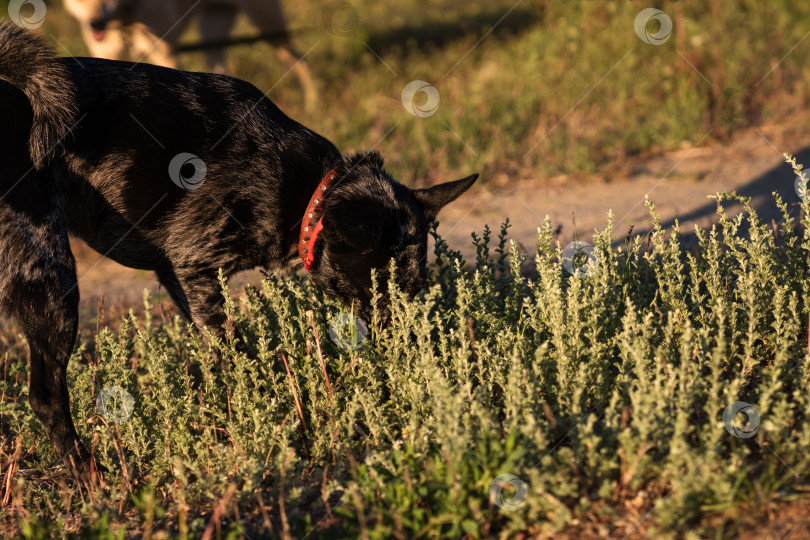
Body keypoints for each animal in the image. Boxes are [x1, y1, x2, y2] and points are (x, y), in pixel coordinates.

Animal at [0, 22, 476, 486]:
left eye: (415, 289)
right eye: (380, 290)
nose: (408, 351)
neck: (308, 192)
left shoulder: (179, 277)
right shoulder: (196, 267)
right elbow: (235, 353)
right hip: (52, 280)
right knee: (45, 397)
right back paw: (92, 478)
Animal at [62, 0, 316, 108]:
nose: (94, 24)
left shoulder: (167, 55)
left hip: (271, 27)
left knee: (302, 64)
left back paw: (312, 104)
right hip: (212, 34)